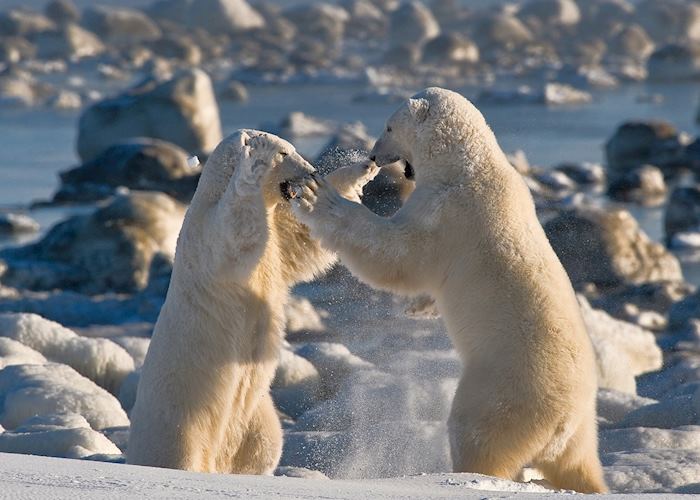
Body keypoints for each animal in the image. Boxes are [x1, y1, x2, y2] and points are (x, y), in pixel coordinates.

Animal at [126, 129, 378, 472]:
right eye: (285, 153)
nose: (311, 171)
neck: (208, 197)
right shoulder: (208, 236)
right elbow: (235, 231)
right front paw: (254, 161)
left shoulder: (276, 246)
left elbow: (300, 239)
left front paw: (361, 169)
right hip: (179, 418)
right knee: (178, 453)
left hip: (255, 415)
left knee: (264, 443)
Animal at [290, 87, 608, 492]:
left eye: (388, 126)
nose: (374, 155)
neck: (468, 166)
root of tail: (564, 419)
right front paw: (419, 308)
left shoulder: (446, 212)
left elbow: (396, 252)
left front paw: (320, 196)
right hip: (581, 429)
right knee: (578, 464)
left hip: (502, 393)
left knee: (478, 436)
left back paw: (467, 474)